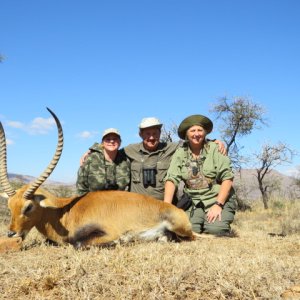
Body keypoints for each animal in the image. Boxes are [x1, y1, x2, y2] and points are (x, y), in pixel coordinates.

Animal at [0, 108, 195, 248]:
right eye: (9, 206)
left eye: (28, 206)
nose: (11, 233)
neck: (65, 211)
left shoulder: (105, 233)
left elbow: (79, 244)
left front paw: (122, 240)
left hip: (182, 230)